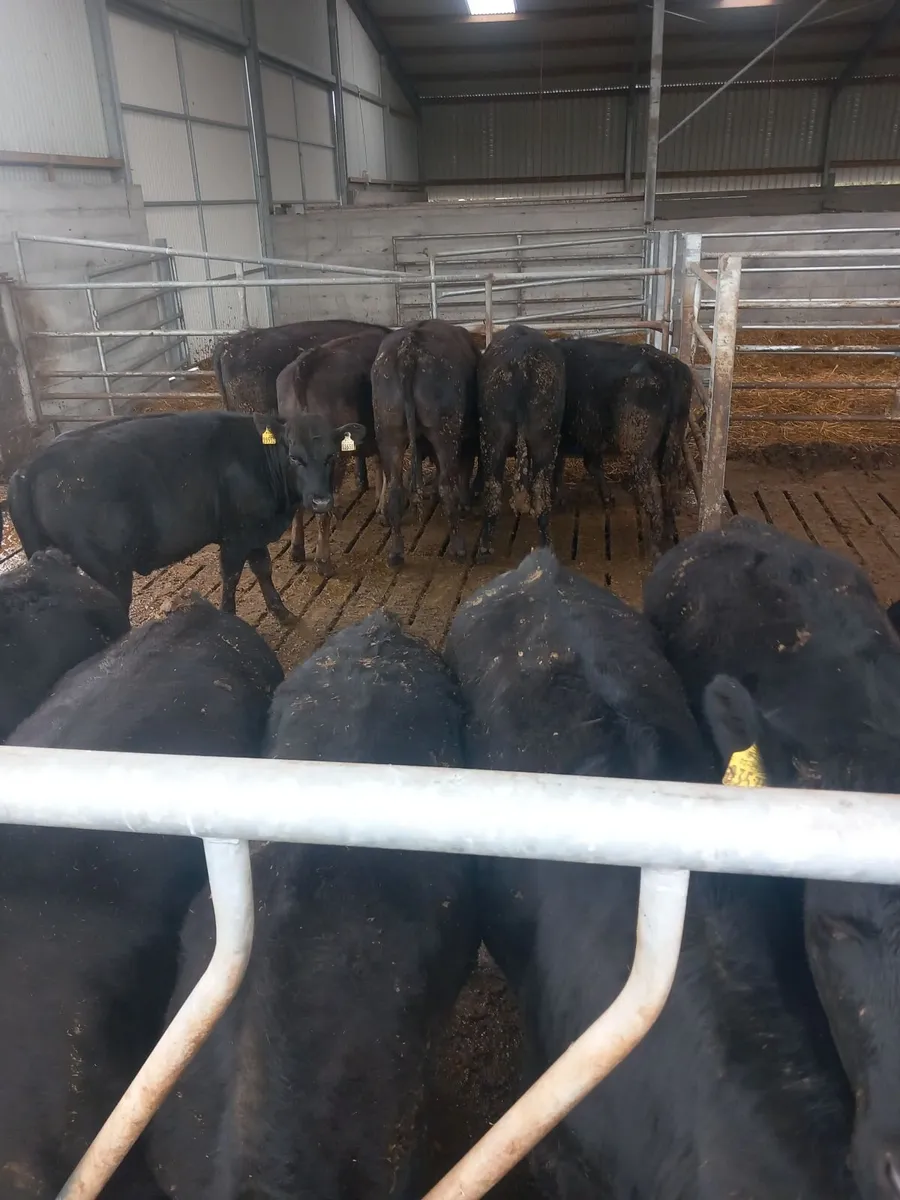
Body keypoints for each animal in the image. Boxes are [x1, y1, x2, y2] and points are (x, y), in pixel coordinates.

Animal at [6, 409, 363, 623]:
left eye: (331, 455)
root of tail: (28, 468)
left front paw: (281, 611)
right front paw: (229, 618)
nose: (320, 500)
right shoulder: (235, 535)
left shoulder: (254, 530)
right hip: (109, 568)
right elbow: (231, 576)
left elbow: (263, 568)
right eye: (294, 457)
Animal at [372, 320, 479, 567]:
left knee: (395, 490)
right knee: (447, 487)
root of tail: (408, 349)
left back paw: (396, 553)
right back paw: (459, 548)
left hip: (389, 434)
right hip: (444, 434)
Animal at [557, 339, 691, 557]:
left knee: (652, 490)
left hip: (639, 450)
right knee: (670, 483)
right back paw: (669, 533)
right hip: (673, 442)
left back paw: (654, 546)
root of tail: (670, 368)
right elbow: (592, 465)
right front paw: (607, 498)